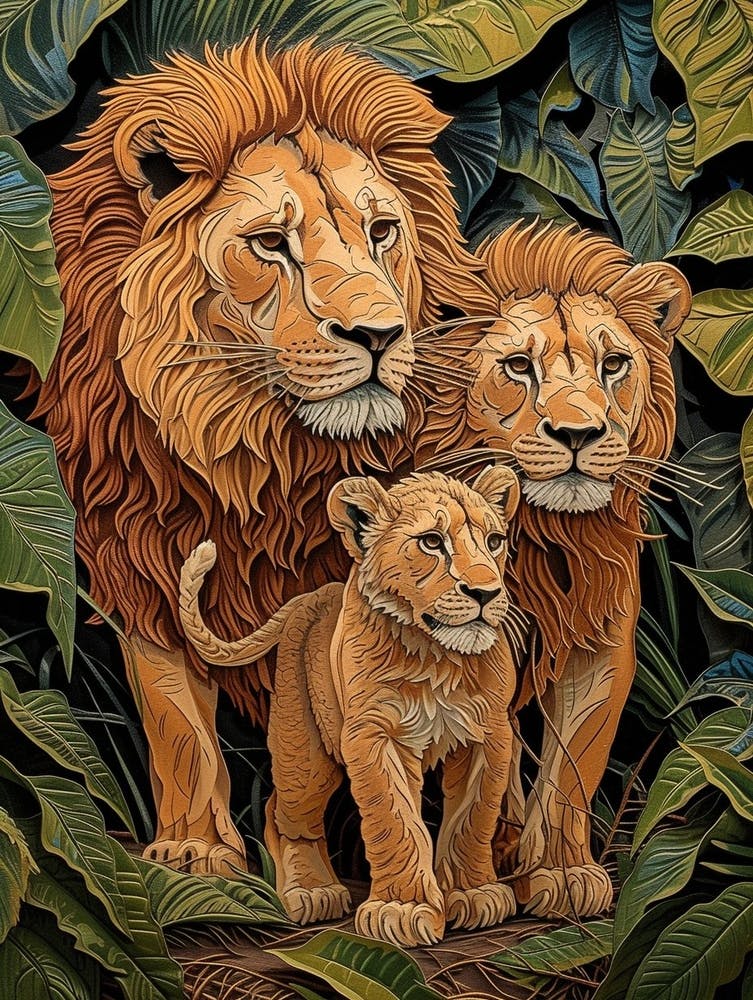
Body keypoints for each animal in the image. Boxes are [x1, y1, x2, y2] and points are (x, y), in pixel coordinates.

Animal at [31, 38, 495, 874]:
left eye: (381, 231)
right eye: (271, 244)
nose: (378, 336)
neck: (260, 456)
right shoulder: (141, 557)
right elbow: (177, 719)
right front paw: (195, 853)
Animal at [178, 467, 521, 948]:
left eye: (494, 541)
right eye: (432, 541)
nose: (486, 593)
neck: (436, 656)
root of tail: (311, 595)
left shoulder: (488, 734)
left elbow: (474, 816)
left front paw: (473, 895)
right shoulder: (374, 734)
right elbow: (396, 818)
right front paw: (402, 909)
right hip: (305, 750)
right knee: (285, 811)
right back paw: (311, 892)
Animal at [415, 219, 692, 918]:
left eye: (613, 364)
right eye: (519, 366)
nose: (577, 434)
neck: (550, 537)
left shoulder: (603, 641)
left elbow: (575, 766)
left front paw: (562, 873)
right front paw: (492, 866)